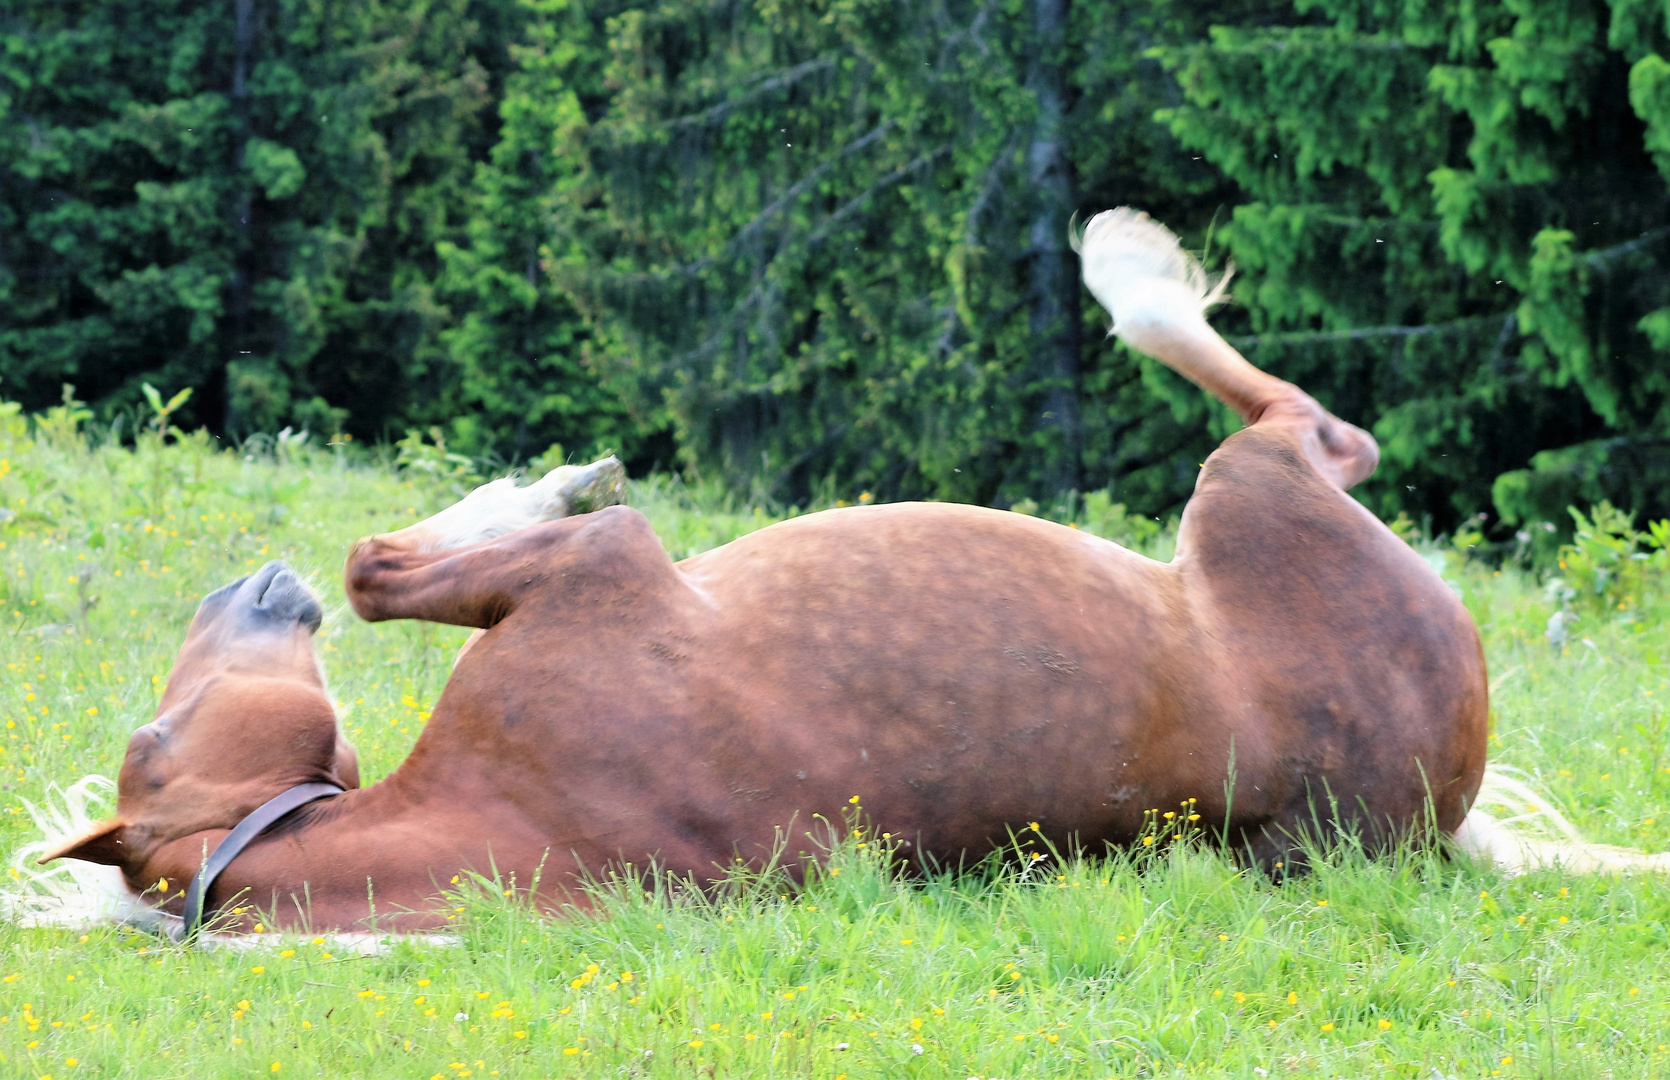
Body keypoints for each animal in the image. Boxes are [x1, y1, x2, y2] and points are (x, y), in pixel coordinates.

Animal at [45, 209, 1496, 928]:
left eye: (150, 731)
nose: (242, 588)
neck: (511, 810)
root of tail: (1452, 770)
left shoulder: (600, 569)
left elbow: (377, 569)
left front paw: (544, 480)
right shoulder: (605, 575)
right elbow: (377, 570)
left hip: (1244, 490)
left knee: (1308, 416)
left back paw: (1121, 261)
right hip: (1255, 495)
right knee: (1313, 423)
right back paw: (1127, 265)